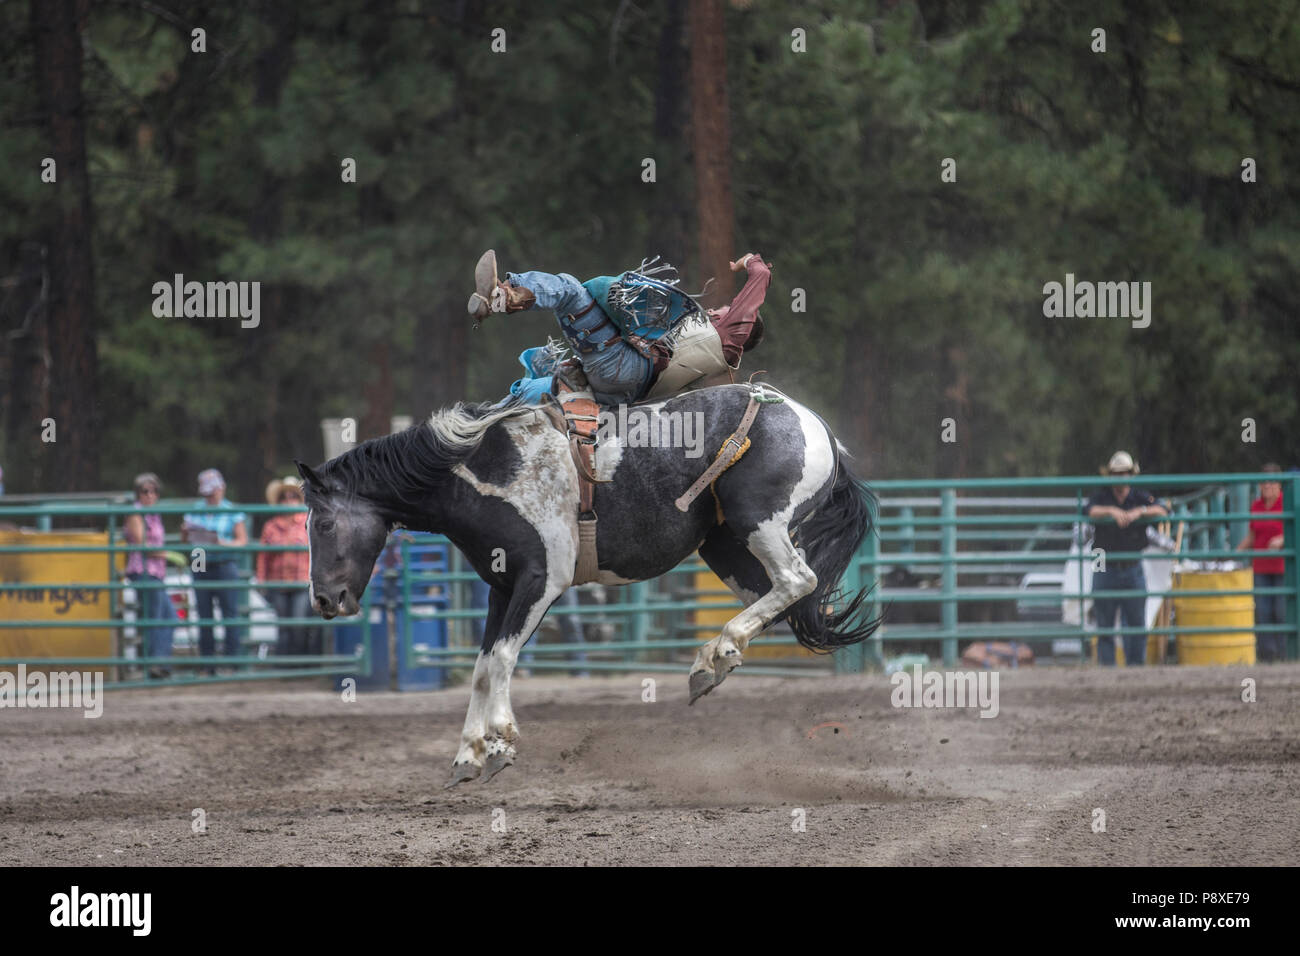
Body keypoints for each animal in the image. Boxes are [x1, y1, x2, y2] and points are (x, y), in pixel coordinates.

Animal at [299, 385, 878, 790]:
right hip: (725, 544)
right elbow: (484, 668)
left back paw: (714, 657)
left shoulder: (540, 580)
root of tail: (816, 426)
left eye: (322, 524)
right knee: (777, 596)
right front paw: (468, 756)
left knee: (797, 579)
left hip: (759, 520)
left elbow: (503, 659)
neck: (489, 469)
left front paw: (501, 743)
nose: (325, 599)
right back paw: (714, 661)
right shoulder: (500, 587)